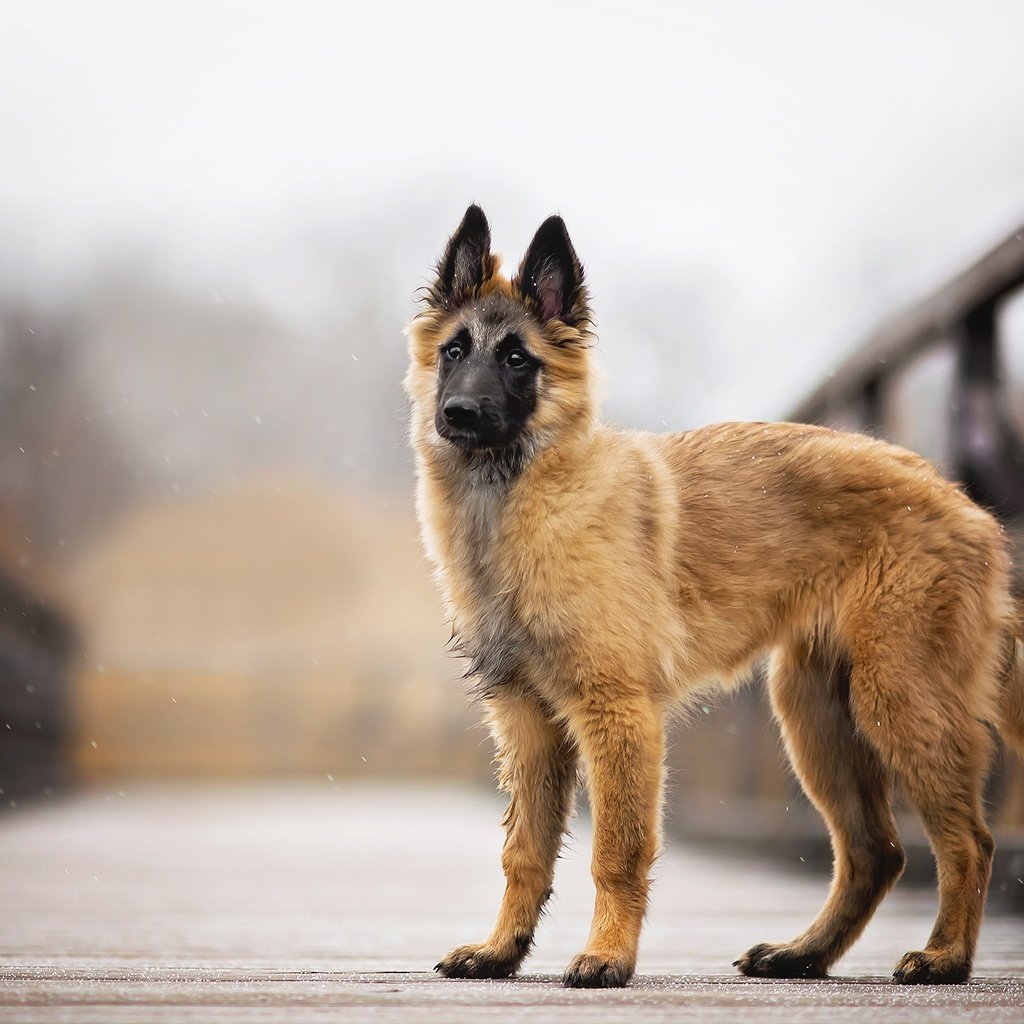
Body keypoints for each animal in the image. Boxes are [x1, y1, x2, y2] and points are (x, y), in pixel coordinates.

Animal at [403, 205, 1024, 983]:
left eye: (518, 359)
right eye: (455, 350)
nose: (456, 413)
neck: (518, 501)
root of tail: (966, 504)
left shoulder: (617, 717)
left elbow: (616, 853)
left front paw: (607, 955)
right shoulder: (526, 722)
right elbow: (524, 853)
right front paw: (501, 949)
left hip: (899, 699)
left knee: (968, 841)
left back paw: (945, 957)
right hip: (814, 715)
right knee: (875, 853)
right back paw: (803, 953)